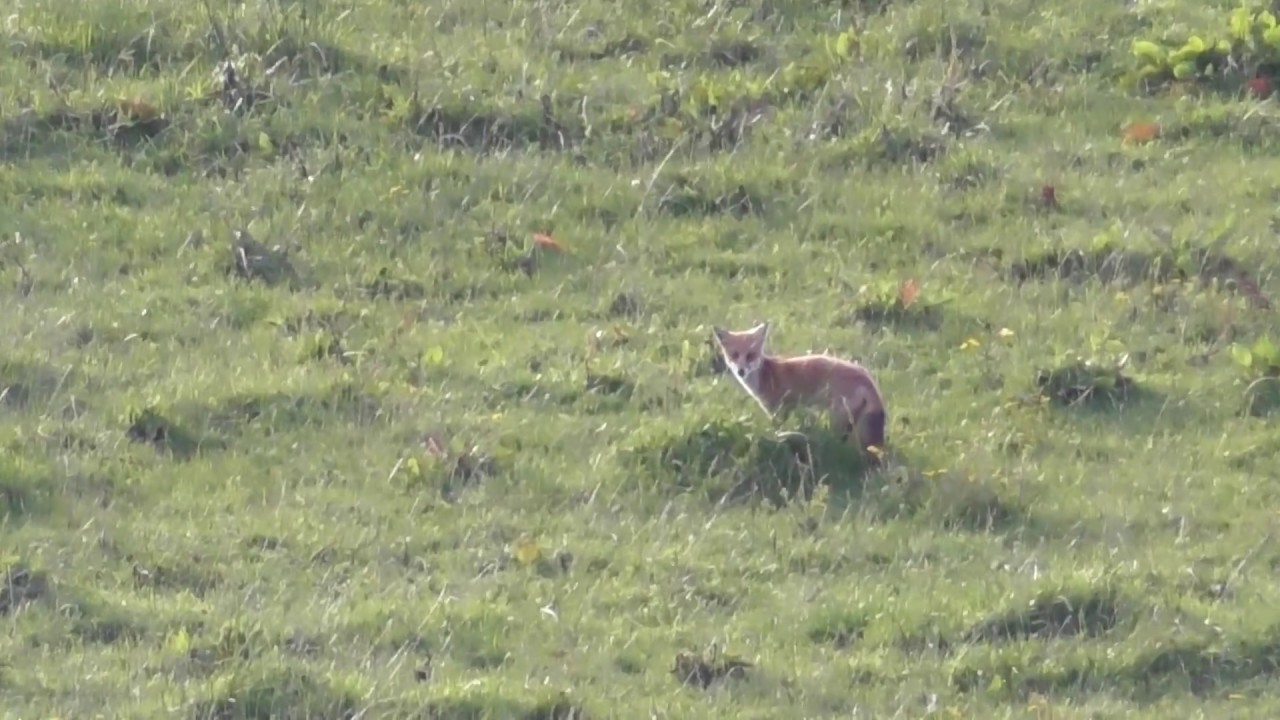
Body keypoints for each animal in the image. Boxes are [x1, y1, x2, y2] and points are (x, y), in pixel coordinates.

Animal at [711, 322, 887, 455]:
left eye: (750, 356)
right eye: (734, 355)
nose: (741, 371)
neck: (766, 375)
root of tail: (868, 379)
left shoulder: (778, 410)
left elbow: (777, 430)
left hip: (838, 418)